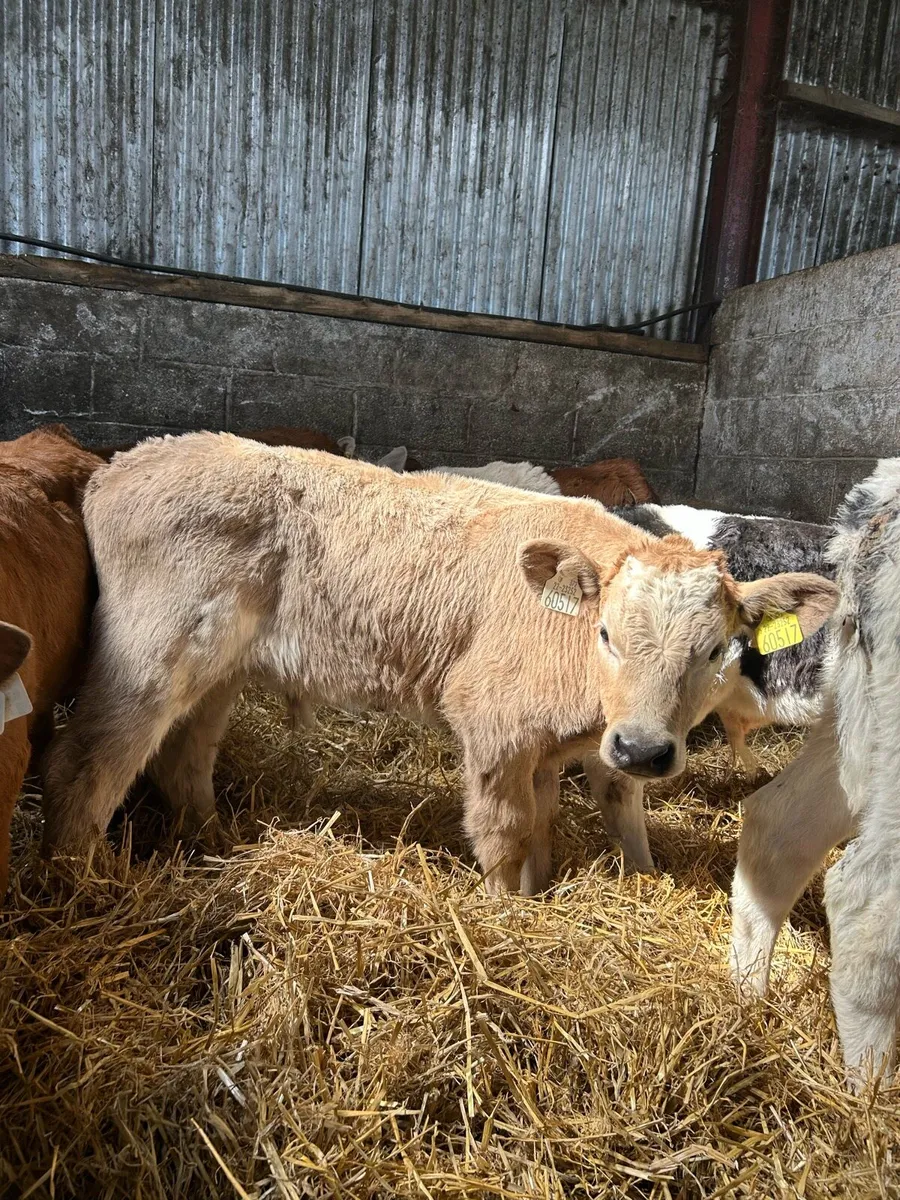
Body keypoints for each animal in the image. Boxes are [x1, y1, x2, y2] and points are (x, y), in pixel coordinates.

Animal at [40, 433, 837, 896]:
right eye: (606, 633)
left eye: (716, 649)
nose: (643, 748)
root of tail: (123, 463)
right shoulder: (494, 724)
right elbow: (507, 832)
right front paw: (506, 913)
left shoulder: (563, 745)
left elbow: (583, 817)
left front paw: (597, 887)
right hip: (151, 653)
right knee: (87, 761)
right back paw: (83, 881)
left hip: (219, 672)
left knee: (185, 758)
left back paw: (215, 843)